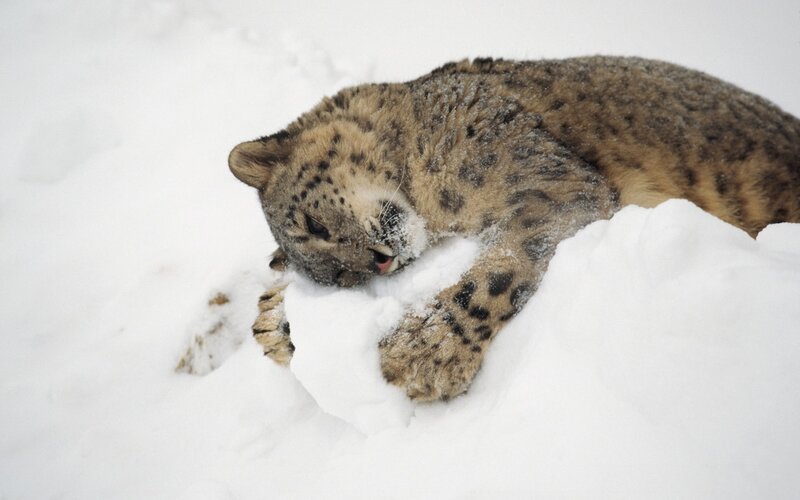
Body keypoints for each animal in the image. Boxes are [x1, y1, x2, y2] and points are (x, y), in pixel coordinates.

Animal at [228, 56, 800, 402]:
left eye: (311, 224)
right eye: (338, 280)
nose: (380, 262)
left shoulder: (551, 184)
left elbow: (500, 269)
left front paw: (420, 354)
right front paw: (277, 323)